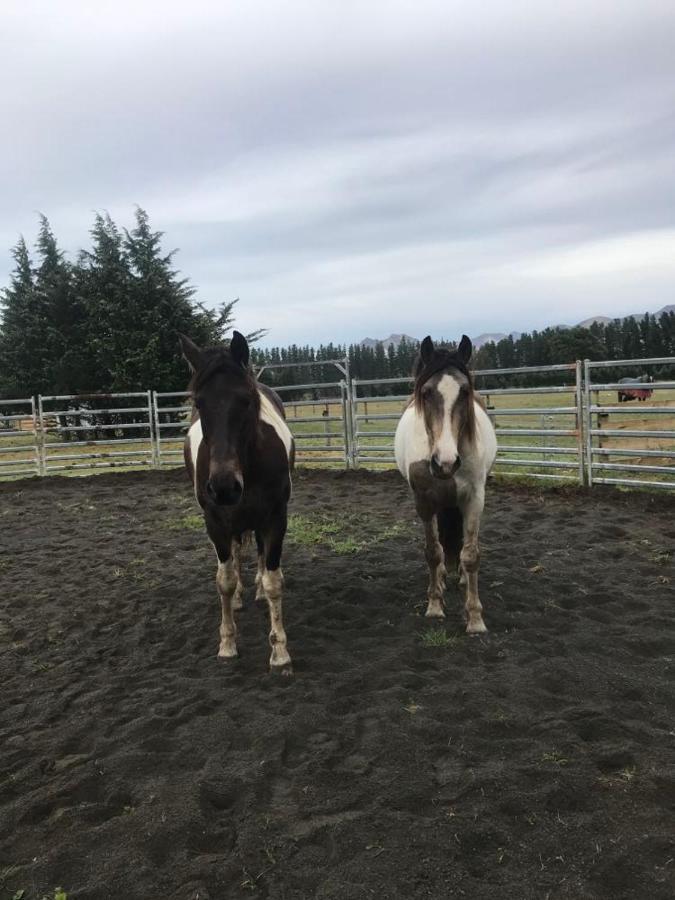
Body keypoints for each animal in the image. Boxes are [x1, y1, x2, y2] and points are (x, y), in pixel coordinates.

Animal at [180, 332, 296, 676]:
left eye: (245, 400)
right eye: (199, 403)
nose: (223, 486)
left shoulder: (275, 518)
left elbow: (273, 581)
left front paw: (279, 651)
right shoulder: (215, 521)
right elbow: (225, 580)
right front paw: (227, 644)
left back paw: (255, 590)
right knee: (233, 555)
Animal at [394, 336, 500, 632]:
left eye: (464, 392)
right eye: (427, 392)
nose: (446, 462)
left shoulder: (474, 499)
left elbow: (471, 554)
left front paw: (475, 618)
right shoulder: (425, 502)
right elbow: (433, 552)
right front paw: (434, 605)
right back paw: (442, 577)